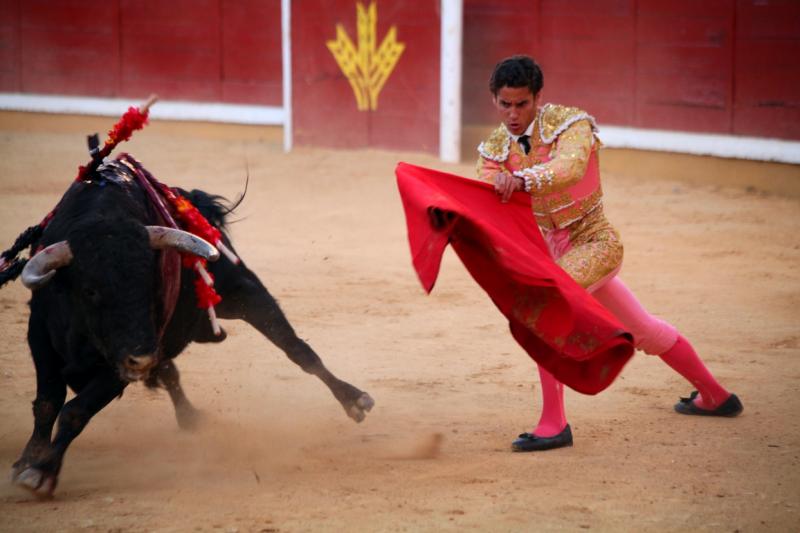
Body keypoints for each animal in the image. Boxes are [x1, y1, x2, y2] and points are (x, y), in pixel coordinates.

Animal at [11, 157, 376, 494]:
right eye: (91, 290)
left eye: (151, 283)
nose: (142, 358)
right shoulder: (39, 334)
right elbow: (48, 402)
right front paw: (29, 460)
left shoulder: (121, 363)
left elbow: (76, 409)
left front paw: (42, 471)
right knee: (172, 372)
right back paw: (189, 416)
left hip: (241, 290)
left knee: (296, 347)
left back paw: (354, 399)